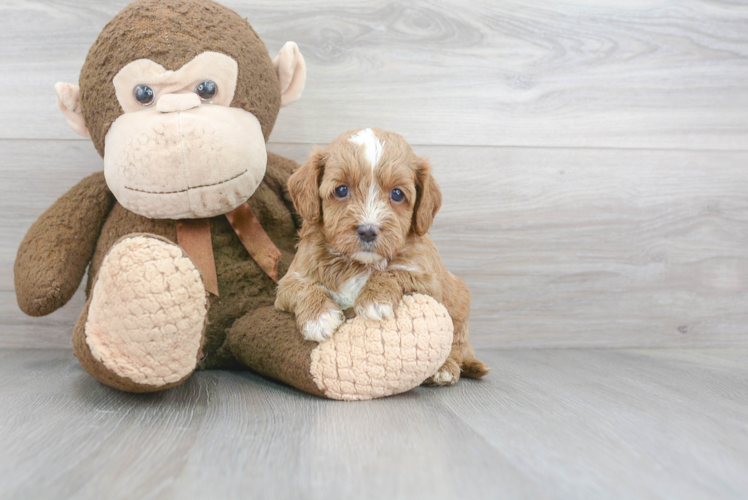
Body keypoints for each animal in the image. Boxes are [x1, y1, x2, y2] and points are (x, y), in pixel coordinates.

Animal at [278, 127, 488, 384]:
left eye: (397, 194)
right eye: (341, 190)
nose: (368, 230)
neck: (357, 264)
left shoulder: (428, 280)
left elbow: (393, 272)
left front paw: (374, 299)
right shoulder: (289, 281)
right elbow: (303, 287)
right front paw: (319, 317)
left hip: (459, 304)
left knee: (457, 345)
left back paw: (445, 368)